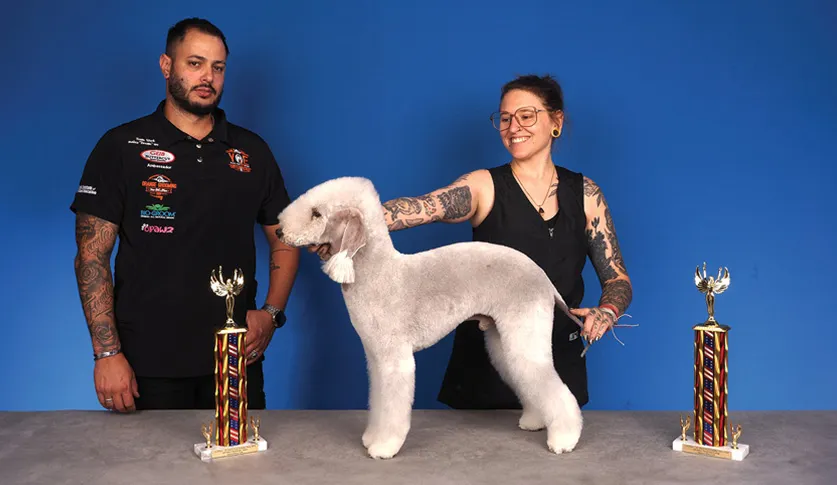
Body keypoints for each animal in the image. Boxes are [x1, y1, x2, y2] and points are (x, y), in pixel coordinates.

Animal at [278, 177, 584, 458]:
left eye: (316, 213)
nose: (279, 230)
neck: (378, 272)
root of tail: (543, 277)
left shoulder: (395, 359)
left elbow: (393, 407)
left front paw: (384, 446)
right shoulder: (376, 358)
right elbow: (378, 402)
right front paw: (371, 437)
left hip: (525, 330)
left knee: (551, 385)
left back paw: (564, 438)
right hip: (503, 338)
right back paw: (536, 421)